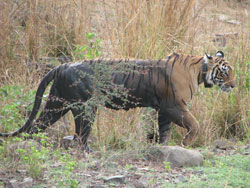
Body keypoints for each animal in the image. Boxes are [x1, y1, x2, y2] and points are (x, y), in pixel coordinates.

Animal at [0, 50, 234, 151]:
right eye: (224, 71)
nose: (233, 85)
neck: (200, 71)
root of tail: (61, 65)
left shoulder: (163, 109)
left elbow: (164, 132)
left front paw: (163, 149)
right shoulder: (174, 106)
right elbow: (194, 124)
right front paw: (186, 144)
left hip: (57, 105)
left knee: (37, 126)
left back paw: (30, 146)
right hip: (85, 107)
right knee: (81, 134)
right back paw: (87, 152)